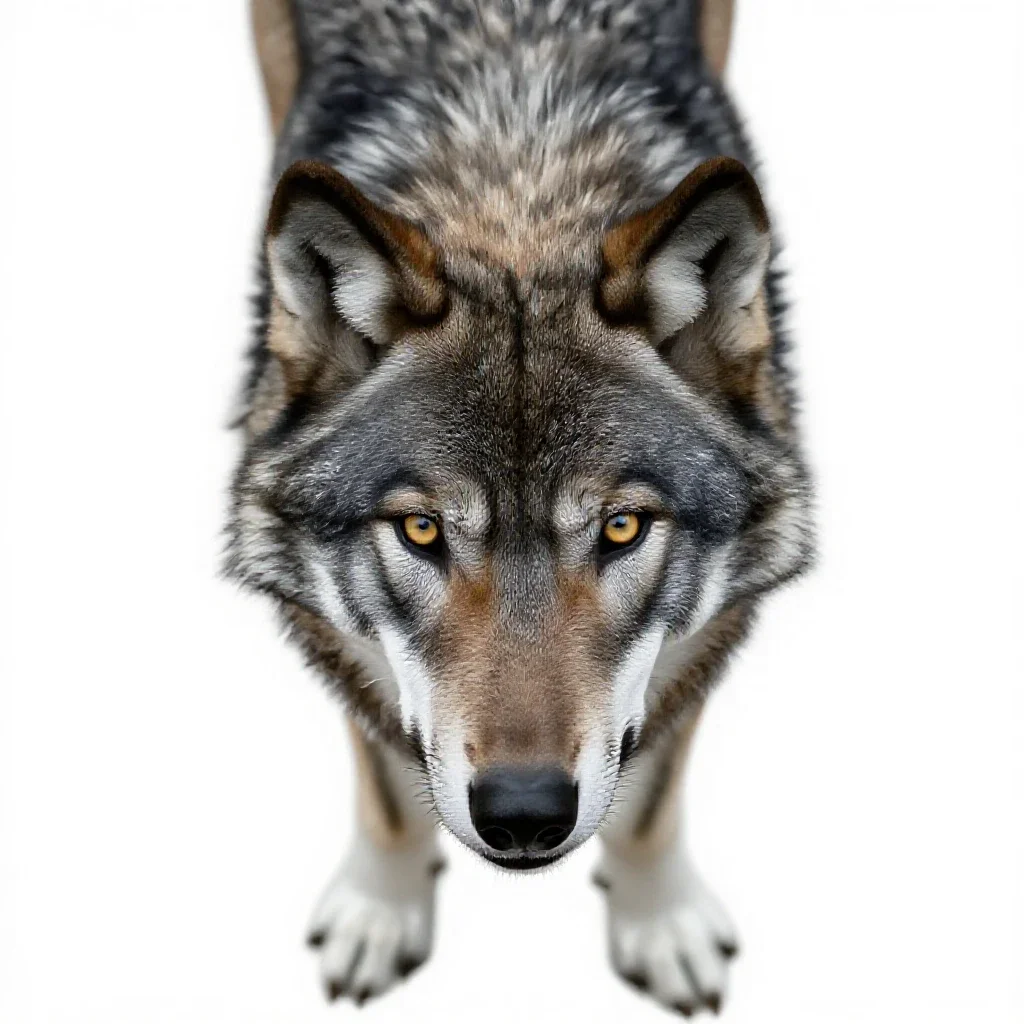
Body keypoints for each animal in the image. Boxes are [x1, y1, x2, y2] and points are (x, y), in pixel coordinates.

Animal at [230, 0, 814, 1014]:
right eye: (421, 529)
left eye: (621, 527)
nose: (525, 813)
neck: (518, 182)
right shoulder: (330, 628)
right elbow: (390, 792)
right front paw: (382, 912)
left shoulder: (711, 629)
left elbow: (647, 810)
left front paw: (659, 925)